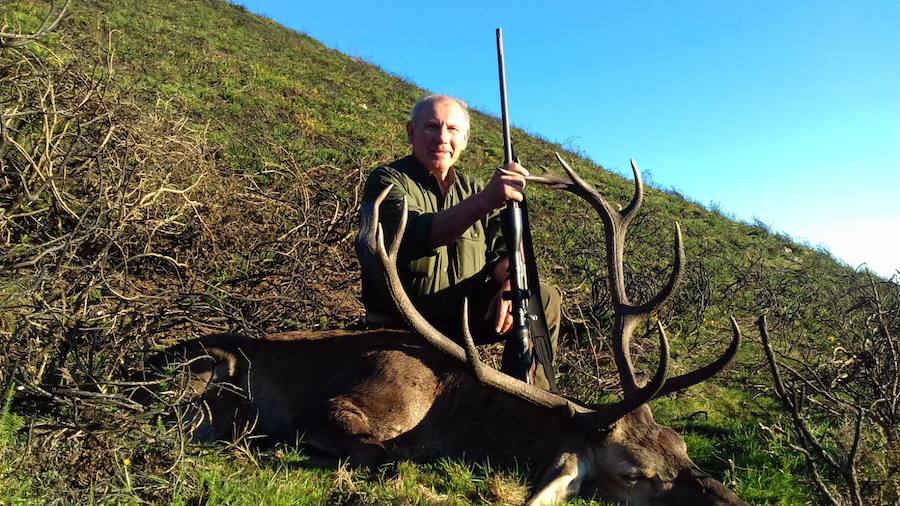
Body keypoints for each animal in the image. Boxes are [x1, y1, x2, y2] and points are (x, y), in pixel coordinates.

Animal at [155, 155, 744, 506]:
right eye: (632, 474)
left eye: (681, 444)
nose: (733, 502)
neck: (450, 411)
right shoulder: (340, 406)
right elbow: (380, 453)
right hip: (205, 382)